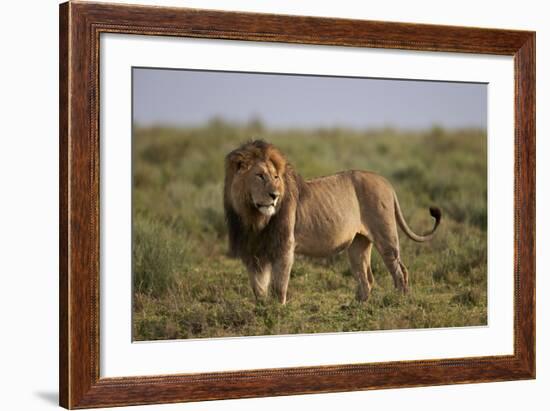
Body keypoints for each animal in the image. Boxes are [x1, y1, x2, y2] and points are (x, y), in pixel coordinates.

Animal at [222, 140, 442, 304]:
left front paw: (277, 312)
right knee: (366, 278)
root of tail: (386, 181)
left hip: (385, 236)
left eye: (276, 176)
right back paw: (356, 307)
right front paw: (261, 312)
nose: (274, 195)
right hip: (357, 244)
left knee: (399, 271)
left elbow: (279, 287)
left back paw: (399, 302)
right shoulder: (251, 252)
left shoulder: (284, 247)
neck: (253, 216)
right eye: (259, 175)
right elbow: (258, 288)